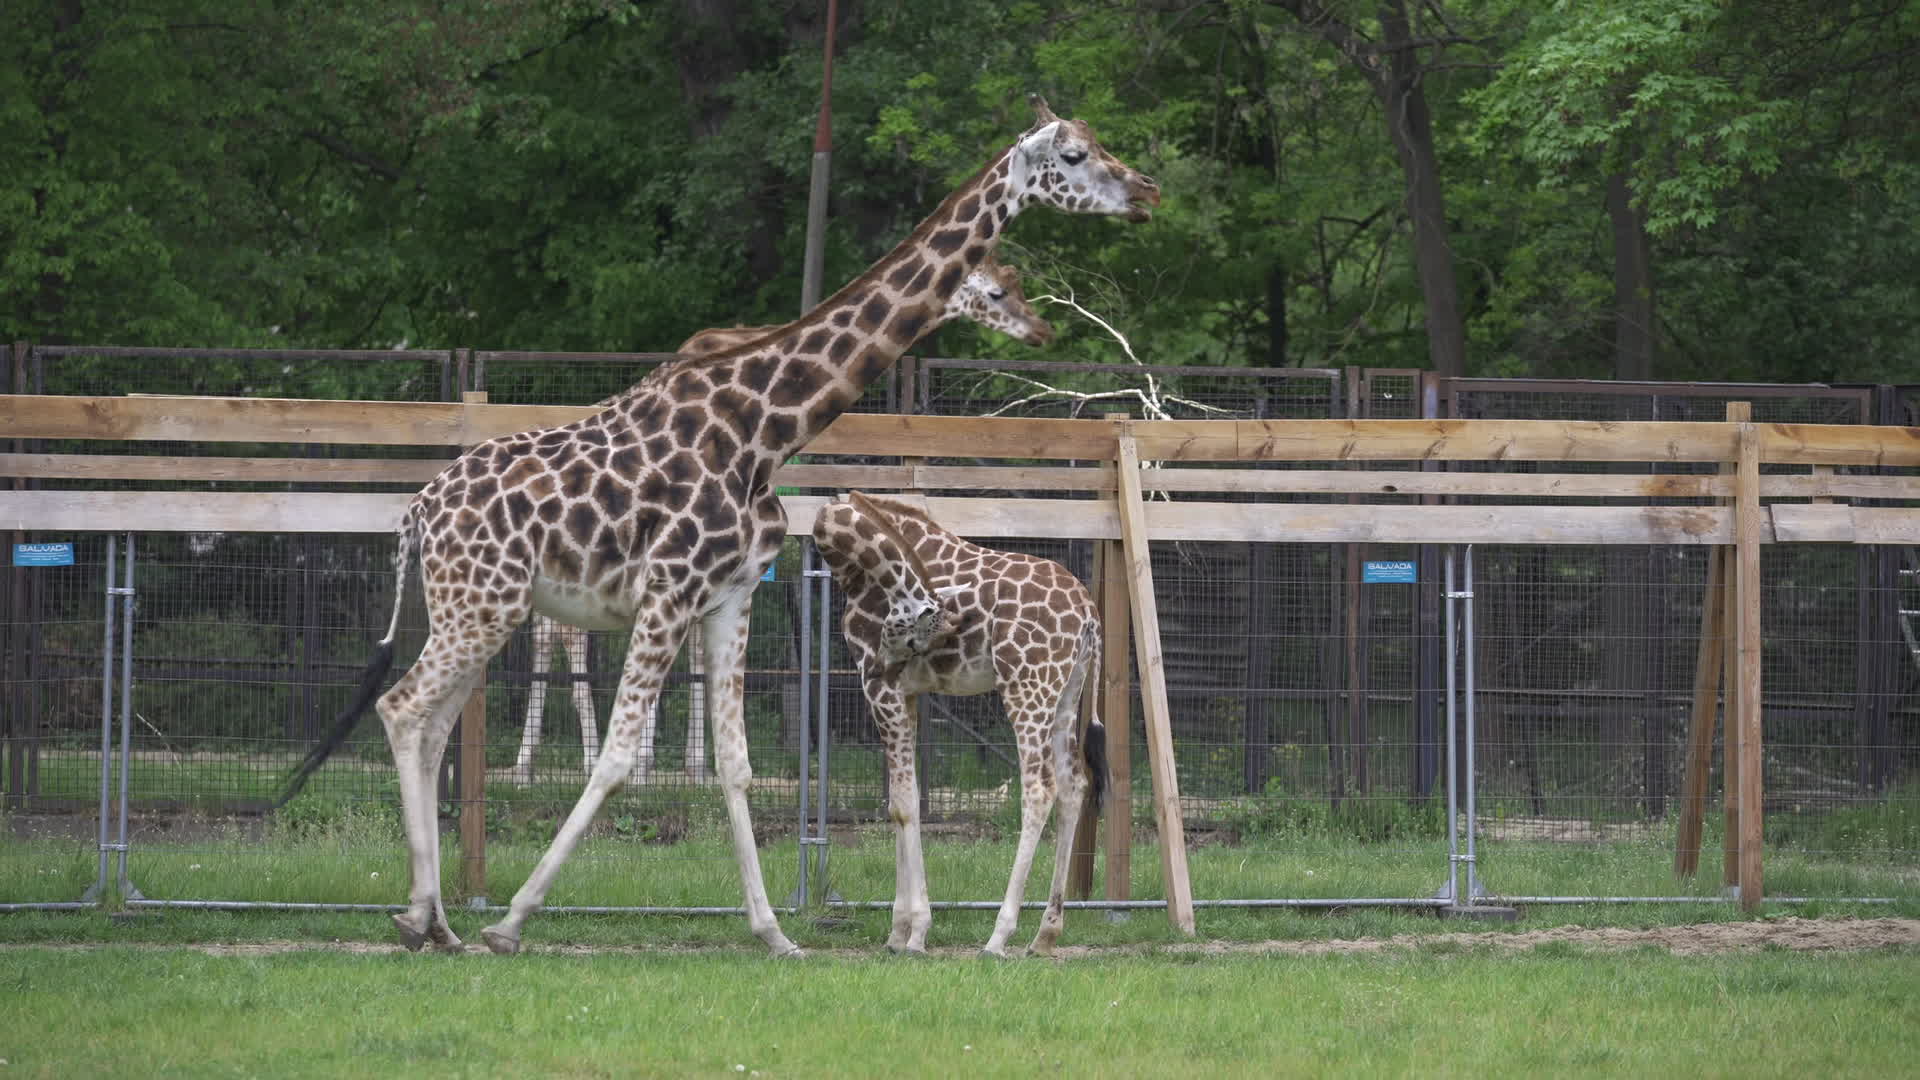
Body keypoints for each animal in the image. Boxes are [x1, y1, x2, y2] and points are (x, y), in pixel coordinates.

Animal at [508, 252, 1055, 787]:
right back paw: (558, 760)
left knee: (559, 632)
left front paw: (683, 764)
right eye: (998, 290)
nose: (1039, 329)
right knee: (561, 634)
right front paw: (660, 764)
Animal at [811, 491, 1107, 957]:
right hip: (1066, 693)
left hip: (1027, 685)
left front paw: (915, 933)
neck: (853, 569)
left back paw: (999, 937)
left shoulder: (882, 691)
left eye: (913, 637)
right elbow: (899, 802)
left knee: (1040, 788)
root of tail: (1089, 613)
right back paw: (1045, 934)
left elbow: (905, 804)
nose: (883, 665)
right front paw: (897, 933)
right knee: (1074, 784)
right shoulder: (907, 693)